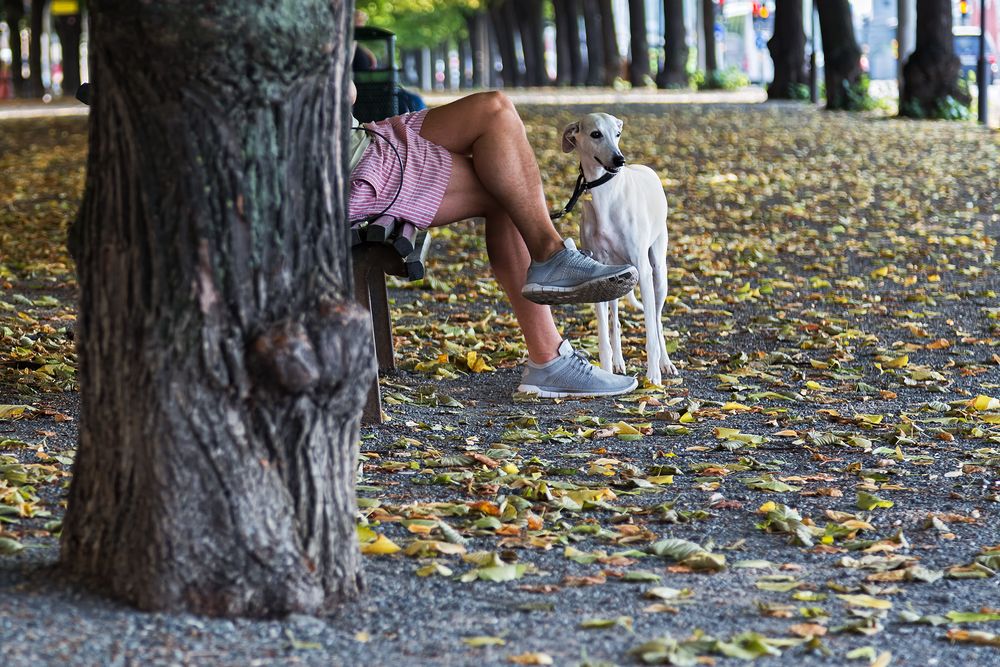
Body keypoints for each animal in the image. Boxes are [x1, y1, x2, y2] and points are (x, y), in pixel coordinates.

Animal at [560, 113, 676, 386]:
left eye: (618, 134)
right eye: (595, 134)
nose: (619, 159)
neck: (605, 195)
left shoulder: (643, 270)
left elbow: (651, 331)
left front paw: (653, 376)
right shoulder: (598, 272)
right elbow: (604, 334)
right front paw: (605, 371)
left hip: (658, 271)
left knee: (657, 319)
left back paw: (665, 364)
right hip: (613, 276)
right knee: (615, 320)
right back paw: (618, 361)